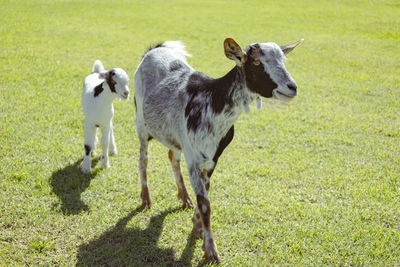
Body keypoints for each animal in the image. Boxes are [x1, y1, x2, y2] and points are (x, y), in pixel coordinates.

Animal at [133, 38, 302, 264]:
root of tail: (154, 50)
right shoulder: (194, 159)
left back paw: (184, 198)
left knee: (172, 156)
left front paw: (196, 229)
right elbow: (206, 204)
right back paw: (146, 199)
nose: (292, 87)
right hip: (141, 125)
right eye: (257, 63)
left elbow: (206, 193)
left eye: (284, 60)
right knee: (143, 159)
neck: (212, 102)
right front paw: (211, 251)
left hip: (173, 135)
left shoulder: (213, 157)